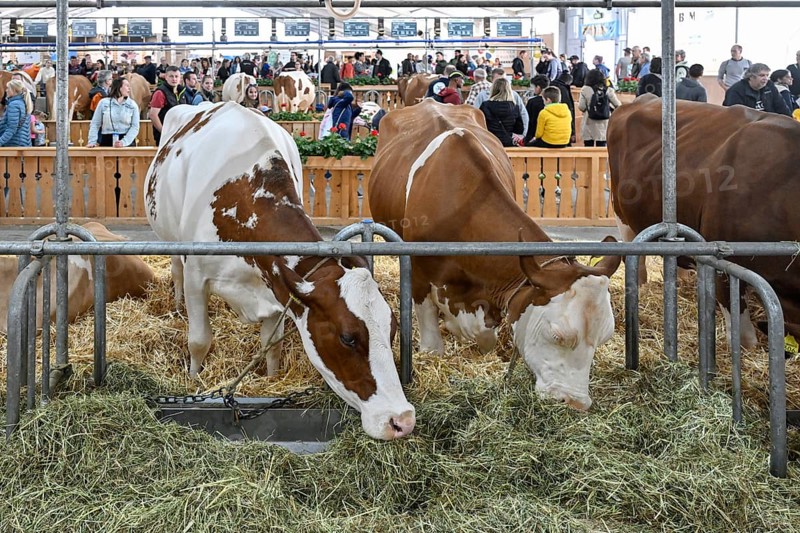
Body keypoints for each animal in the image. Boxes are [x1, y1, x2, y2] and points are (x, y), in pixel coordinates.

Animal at [144, 102, 415, 440]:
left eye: (392, 329)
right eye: (348, 338)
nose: (402, 420)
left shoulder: (275, 286)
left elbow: (270, 347)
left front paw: (271, 379)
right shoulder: (198, 277)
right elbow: (199, 340)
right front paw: (194, 382)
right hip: (169, 240)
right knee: (176, 270)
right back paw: (178, 306)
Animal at [368, 100, 621, 411]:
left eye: (604, 337)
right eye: (557, 335)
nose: (576, 403)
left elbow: (485, 336)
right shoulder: (418, 273)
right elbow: (430, 335)